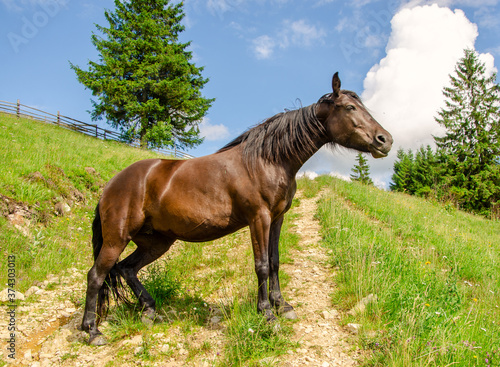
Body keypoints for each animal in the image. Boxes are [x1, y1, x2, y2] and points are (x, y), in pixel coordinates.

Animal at [83, 72, 394, 344]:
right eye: (350, 107)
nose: (385, 140)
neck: (268, 159)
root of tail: (111, 185)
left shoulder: (277, 219)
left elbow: (276, 261)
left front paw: (282, 305)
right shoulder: (259, 218)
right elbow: (262, 265)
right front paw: (267, 313)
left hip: (155, 242)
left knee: (126, 270)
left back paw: (149, 310)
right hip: (117, 238)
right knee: (96, 275)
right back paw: (92, 331)